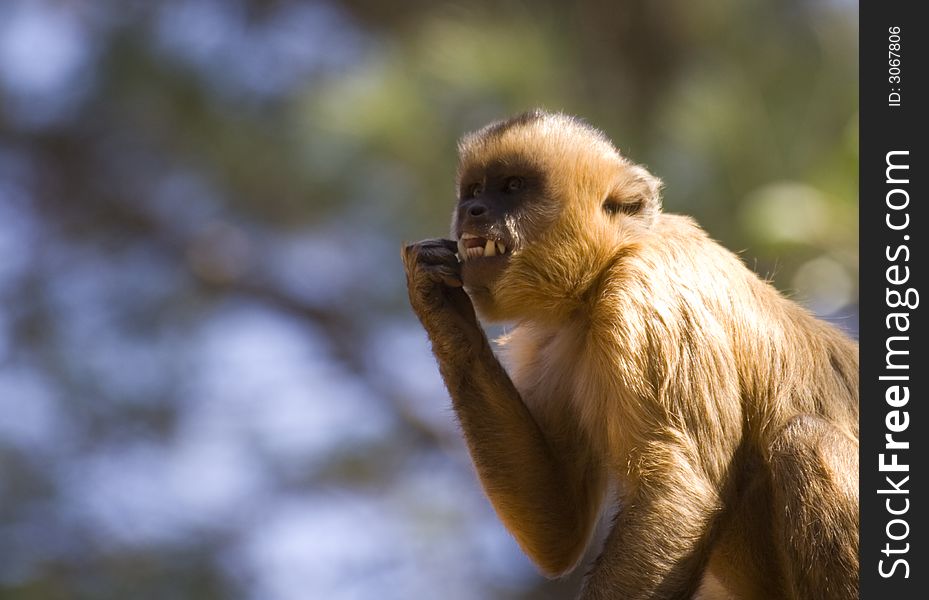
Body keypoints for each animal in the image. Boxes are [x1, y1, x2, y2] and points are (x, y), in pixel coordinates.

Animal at [402, 111, 860, 600]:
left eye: (511, 187)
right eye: (474, 192)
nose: (473, 210)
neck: (602, 274)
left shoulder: (646, 294)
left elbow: (679, 490)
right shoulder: (551, 342)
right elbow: (560, 531)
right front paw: (441, 308)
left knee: (807, 440)